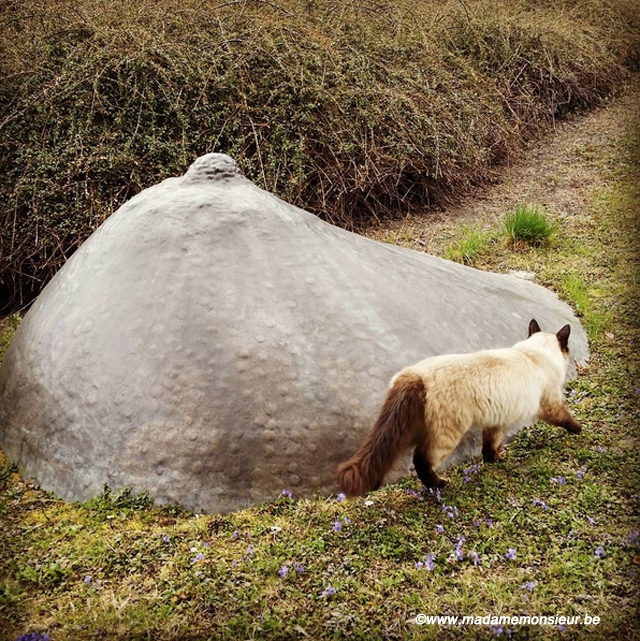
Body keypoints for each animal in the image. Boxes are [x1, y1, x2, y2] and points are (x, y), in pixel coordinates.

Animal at [338, 318, 584, 496]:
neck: (534, 353)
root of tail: (415, 375)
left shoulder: (496, 421)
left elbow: (490, 445)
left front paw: (495, 460)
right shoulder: (550, 405)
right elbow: (566, 419)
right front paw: (581, 429)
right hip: (447, 434)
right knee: (421, 460)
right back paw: (440, 485)